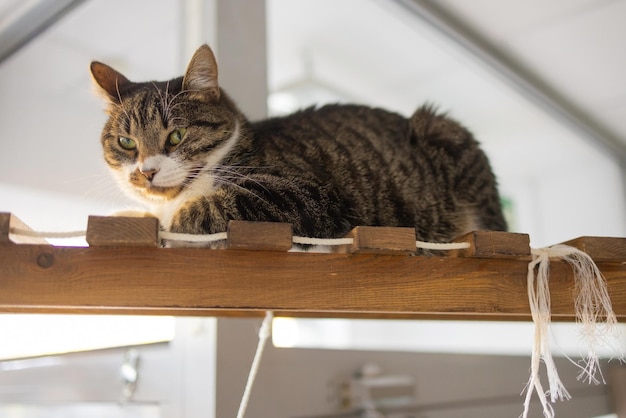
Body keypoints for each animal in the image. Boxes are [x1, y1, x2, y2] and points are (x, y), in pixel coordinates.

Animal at [89, 43, 508, 247]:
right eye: (126, 142)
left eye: (175, 136)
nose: (146, 172)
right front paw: (130, 214)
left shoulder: (311, 194)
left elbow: (201, 211)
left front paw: (167, 220)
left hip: (444, 132)